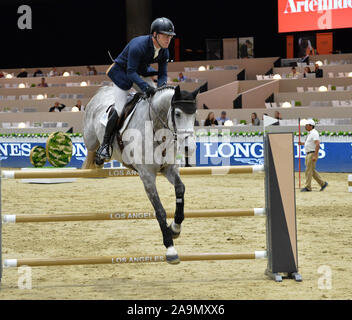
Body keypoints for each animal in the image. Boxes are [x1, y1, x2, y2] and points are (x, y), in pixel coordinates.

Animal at [82, 84, 198, 262]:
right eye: (178, 114)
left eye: (194, 115)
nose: (188, 148)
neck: (157, 129)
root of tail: (103, 91)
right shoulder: (147, 176)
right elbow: (160, 211)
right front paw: (170, 247)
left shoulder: (168, 169)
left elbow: (180, 189)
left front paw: (175, 228)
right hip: (90, 139)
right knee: (91, 150)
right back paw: (99, 157)